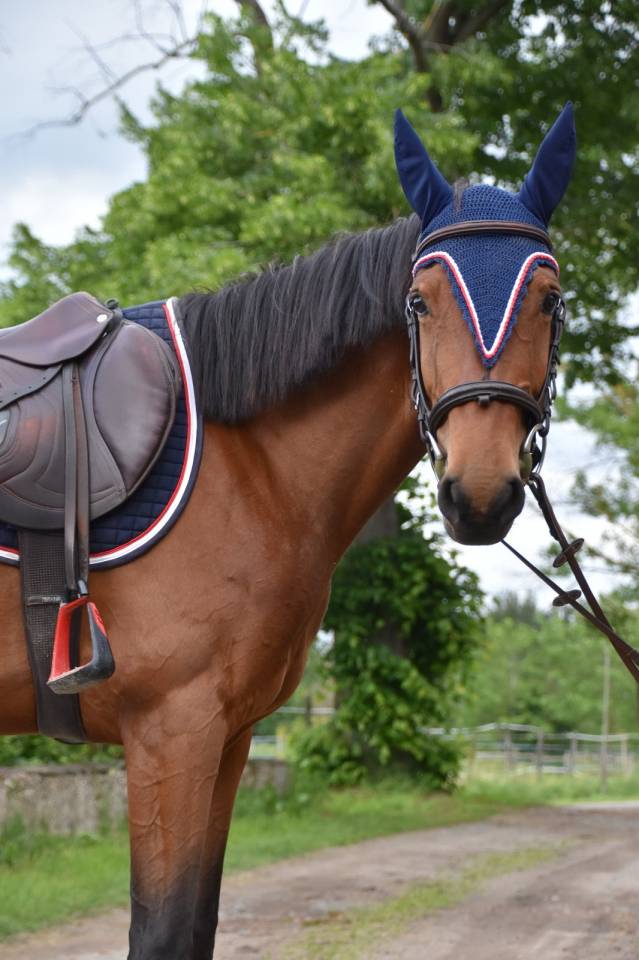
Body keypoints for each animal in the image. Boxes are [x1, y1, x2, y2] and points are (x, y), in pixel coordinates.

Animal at [0, 104, 576, 958]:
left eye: (548, 297)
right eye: (419, 301)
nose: (478, 493)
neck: (243, 461)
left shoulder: (229, 737)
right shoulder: (172, 732)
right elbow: (161, 931)